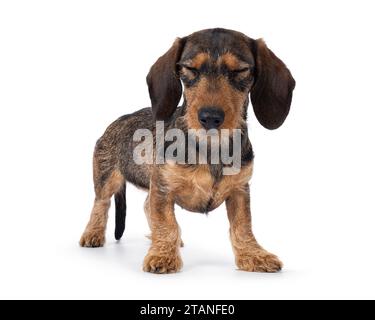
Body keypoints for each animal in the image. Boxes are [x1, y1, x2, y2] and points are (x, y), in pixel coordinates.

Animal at [80, 28, 296, 272]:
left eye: (240, 70)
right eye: (191, 69)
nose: (210, 117)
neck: (210, 147)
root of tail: (115, 122)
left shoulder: (239, 190)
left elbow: (242, 226)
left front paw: (254, 255)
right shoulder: (162, 188)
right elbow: (167, 223)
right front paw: (163, 255)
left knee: (144, 205)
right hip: (107, 179)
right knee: (101, 203)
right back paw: (93, 233)